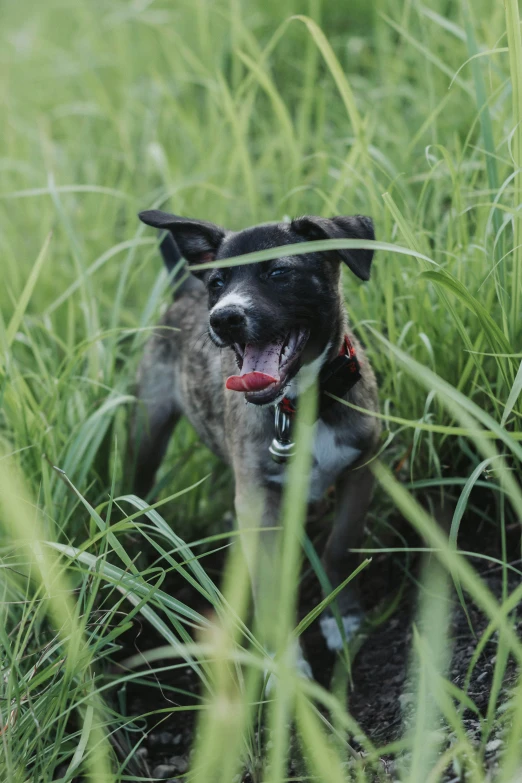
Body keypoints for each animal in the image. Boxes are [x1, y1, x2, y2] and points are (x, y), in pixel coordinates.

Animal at [128, 211, 380, 672]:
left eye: (279, 273)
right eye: (218, 283)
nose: (223, 318)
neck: (300, 405)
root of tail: (184, 287)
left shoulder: (362, 466)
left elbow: (340, 545)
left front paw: (345, 618)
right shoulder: (259, 504)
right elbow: (270, 588)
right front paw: (286, 664)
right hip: (147, 433)